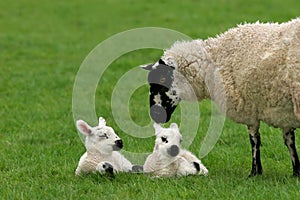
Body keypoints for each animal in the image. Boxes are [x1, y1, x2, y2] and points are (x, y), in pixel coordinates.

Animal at [142, 17, 300, 177]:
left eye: (162, 79)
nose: (155, 115)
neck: (212, 64)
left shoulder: (249, 109)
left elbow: (255, 140)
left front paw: (255, 172)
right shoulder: (282, 111)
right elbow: (289, 141)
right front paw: (295, 172)